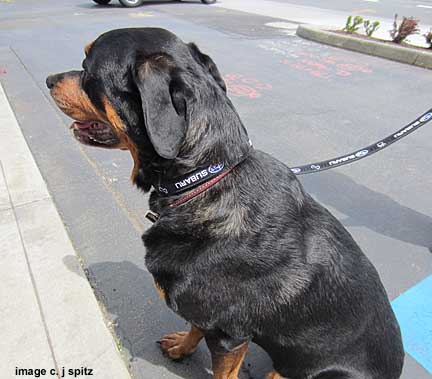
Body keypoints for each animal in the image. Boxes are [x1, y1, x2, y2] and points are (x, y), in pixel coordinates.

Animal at [47, 27, 404, 379]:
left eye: (87, 66)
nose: (49, 79)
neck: (203, 180)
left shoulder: (229, 336)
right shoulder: (209, 322)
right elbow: (194, 327)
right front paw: (182, 347)